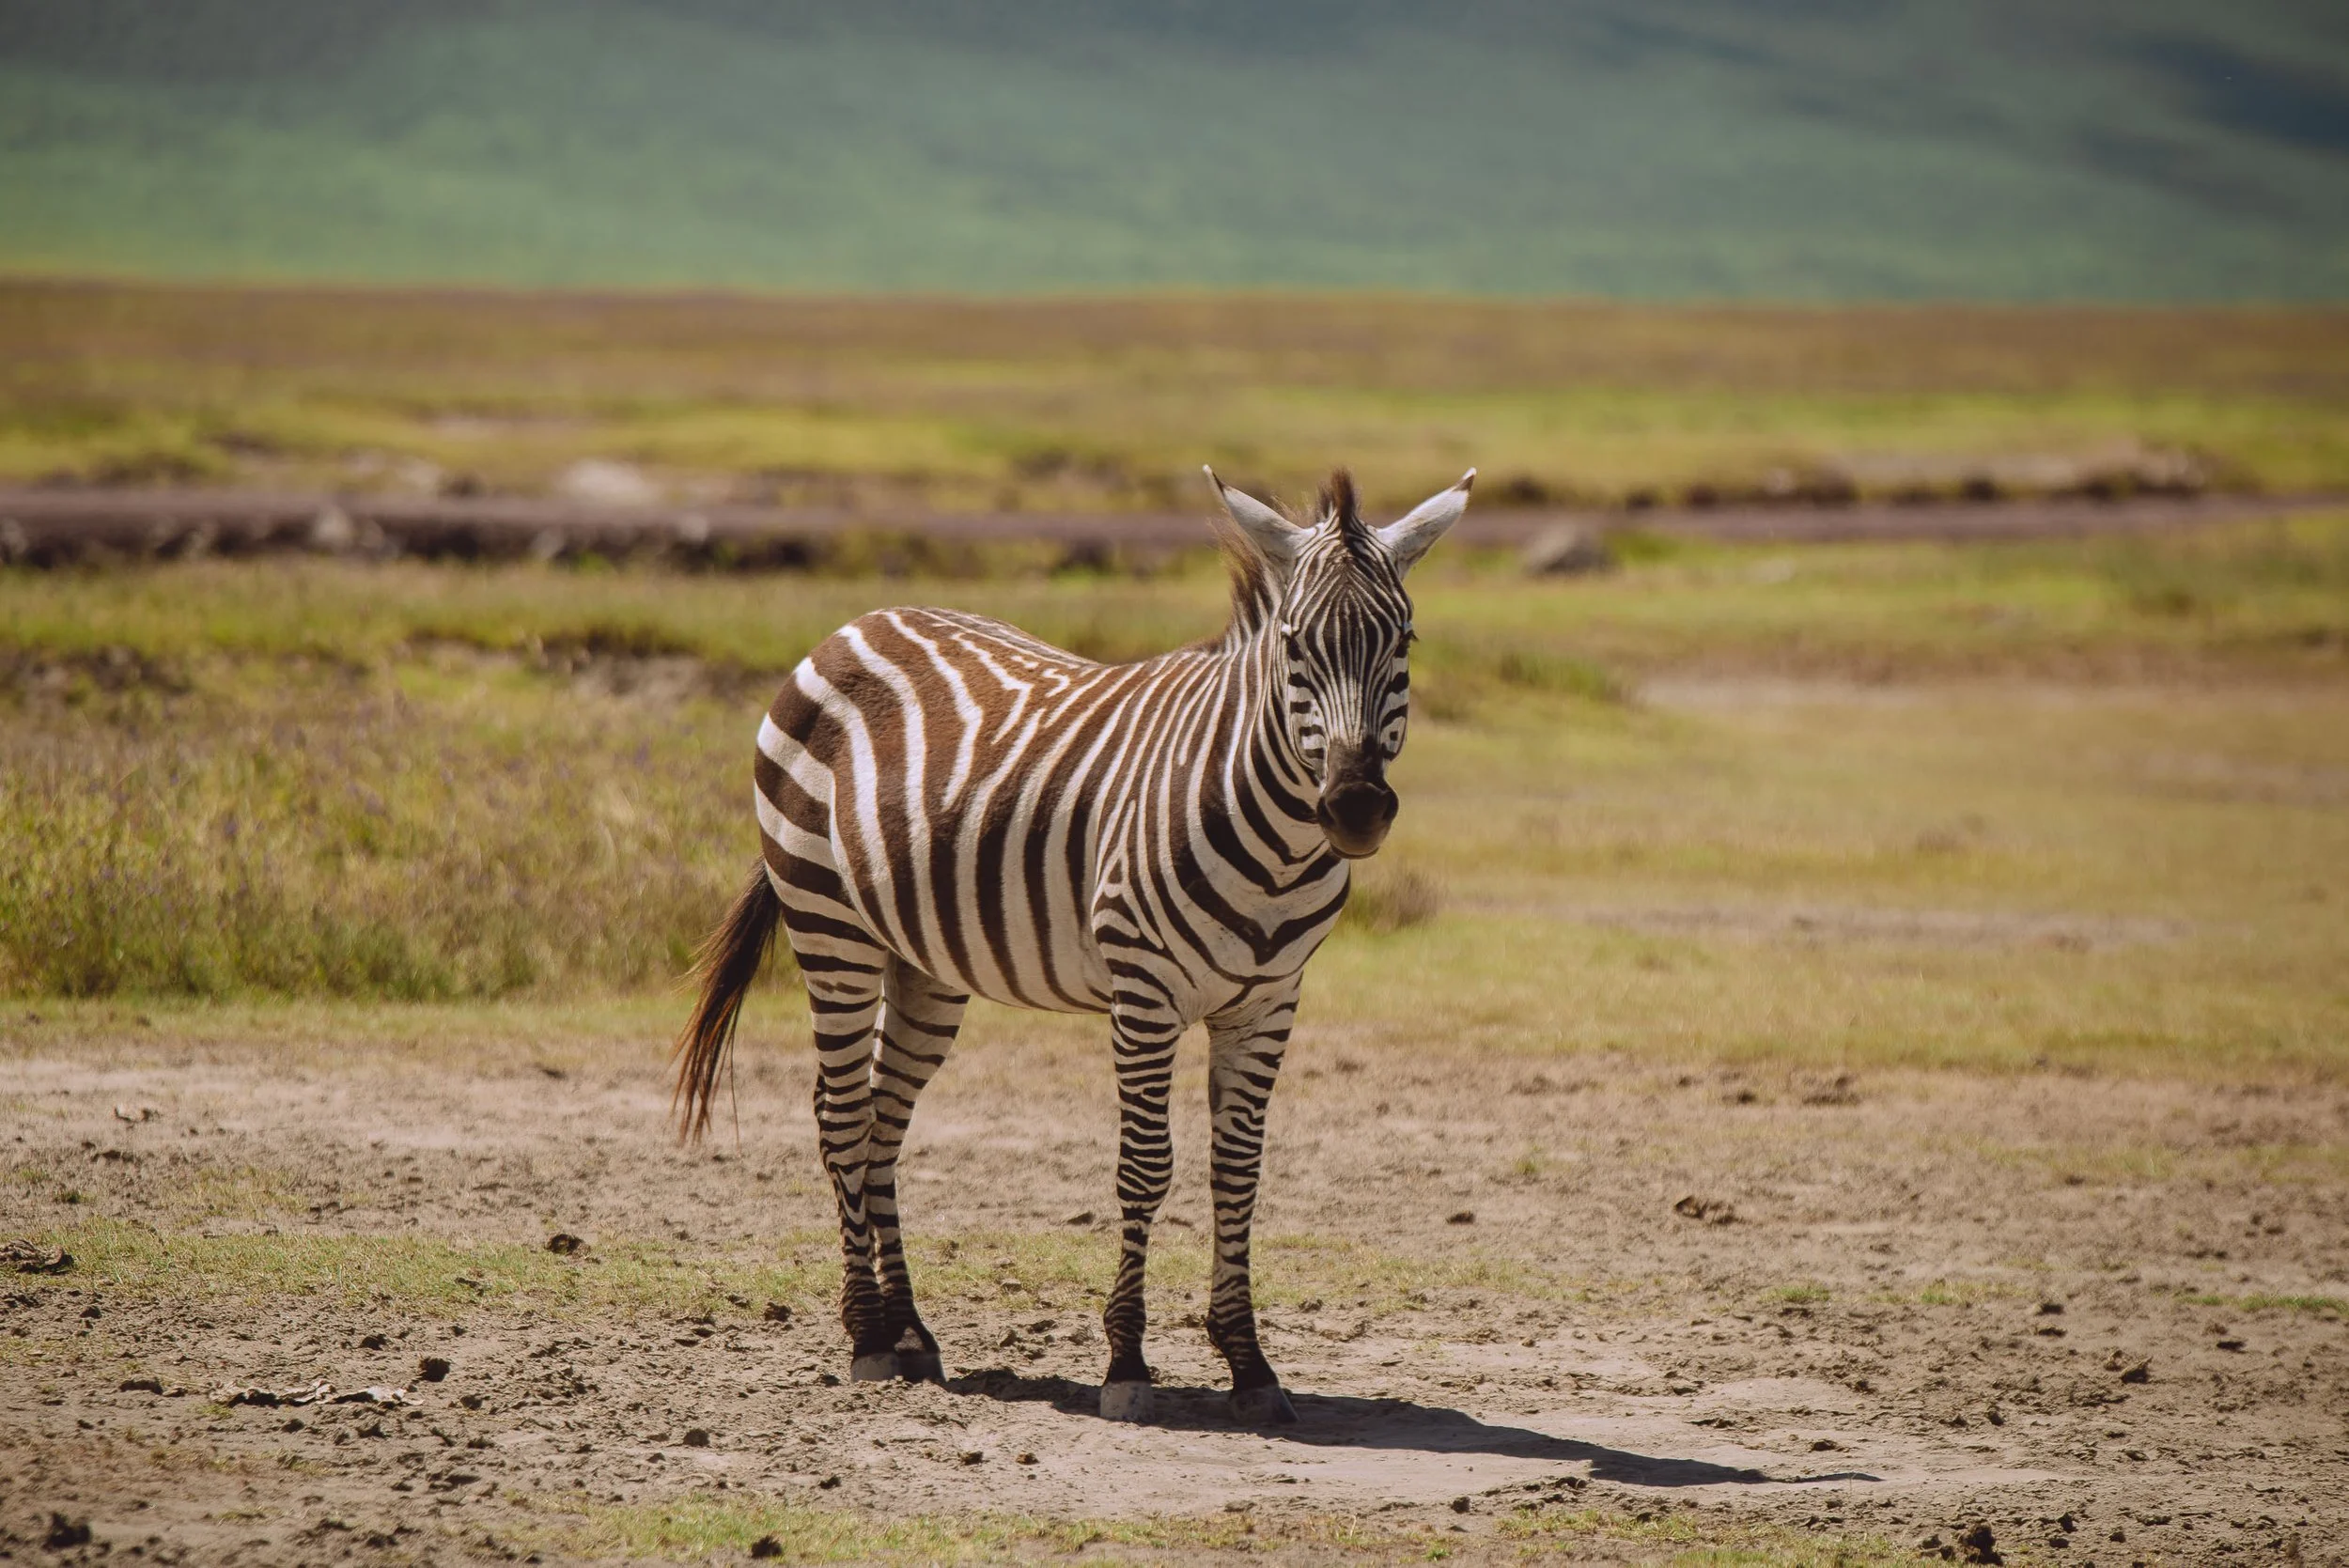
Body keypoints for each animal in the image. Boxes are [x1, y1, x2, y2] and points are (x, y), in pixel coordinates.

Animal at [673, 466, 1472, 1425]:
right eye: (1293, 645)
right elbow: (1146, 1166)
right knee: (839, 1115)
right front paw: (1126, 1361)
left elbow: (1238, 1169)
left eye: (1404, 638)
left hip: (925, 962)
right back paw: (867, 1335)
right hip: (830, 923)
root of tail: (854, 624)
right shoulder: (1145, 991)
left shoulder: (1269, 1000)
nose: (1354, 808)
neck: (1276, 842)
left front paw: (1248, 1362)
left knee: (882, 1120)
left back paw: (911, 1331)